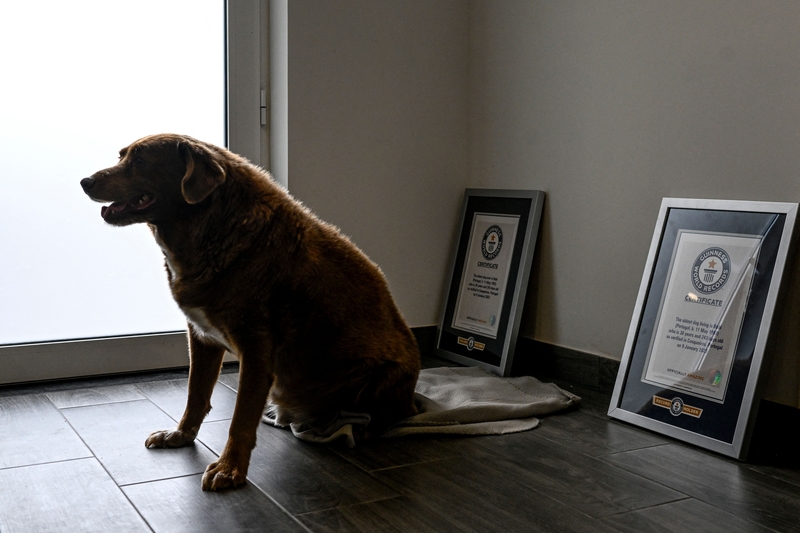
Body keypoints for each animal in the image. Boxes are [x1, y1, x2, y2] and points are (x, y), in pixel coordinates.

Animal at [78, 134, 422, 490]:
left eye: (141, 160)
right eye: (121, 156)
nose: (84, 182)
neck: (212, 228)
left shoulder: (256, 350)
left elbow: (241, 418)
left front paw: (230, 468)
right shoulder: (201, 337)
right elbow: (195, 394)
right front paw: (180, 435)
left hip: (381, 377)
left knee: (387, 416)